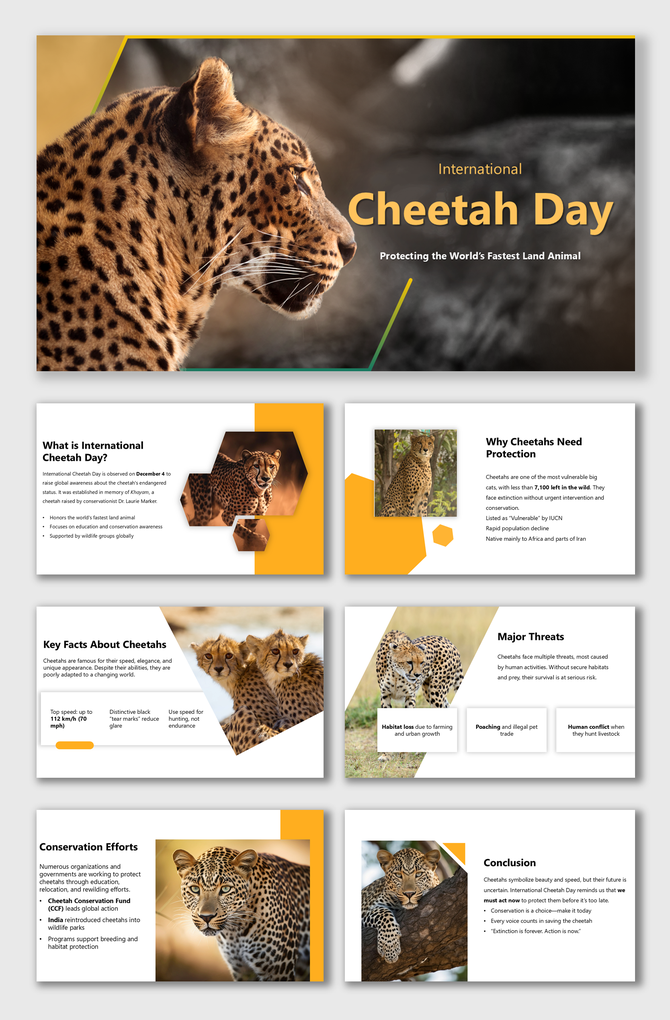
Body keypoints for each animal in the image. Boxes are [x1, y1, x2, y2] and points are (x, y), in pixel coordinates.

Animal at [173, 846, 310, 981]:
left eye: (225, 889)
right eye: (195, 889)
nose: (206, 917)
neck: (234, 932)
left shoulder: (279, 970)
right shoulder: (241, 971)